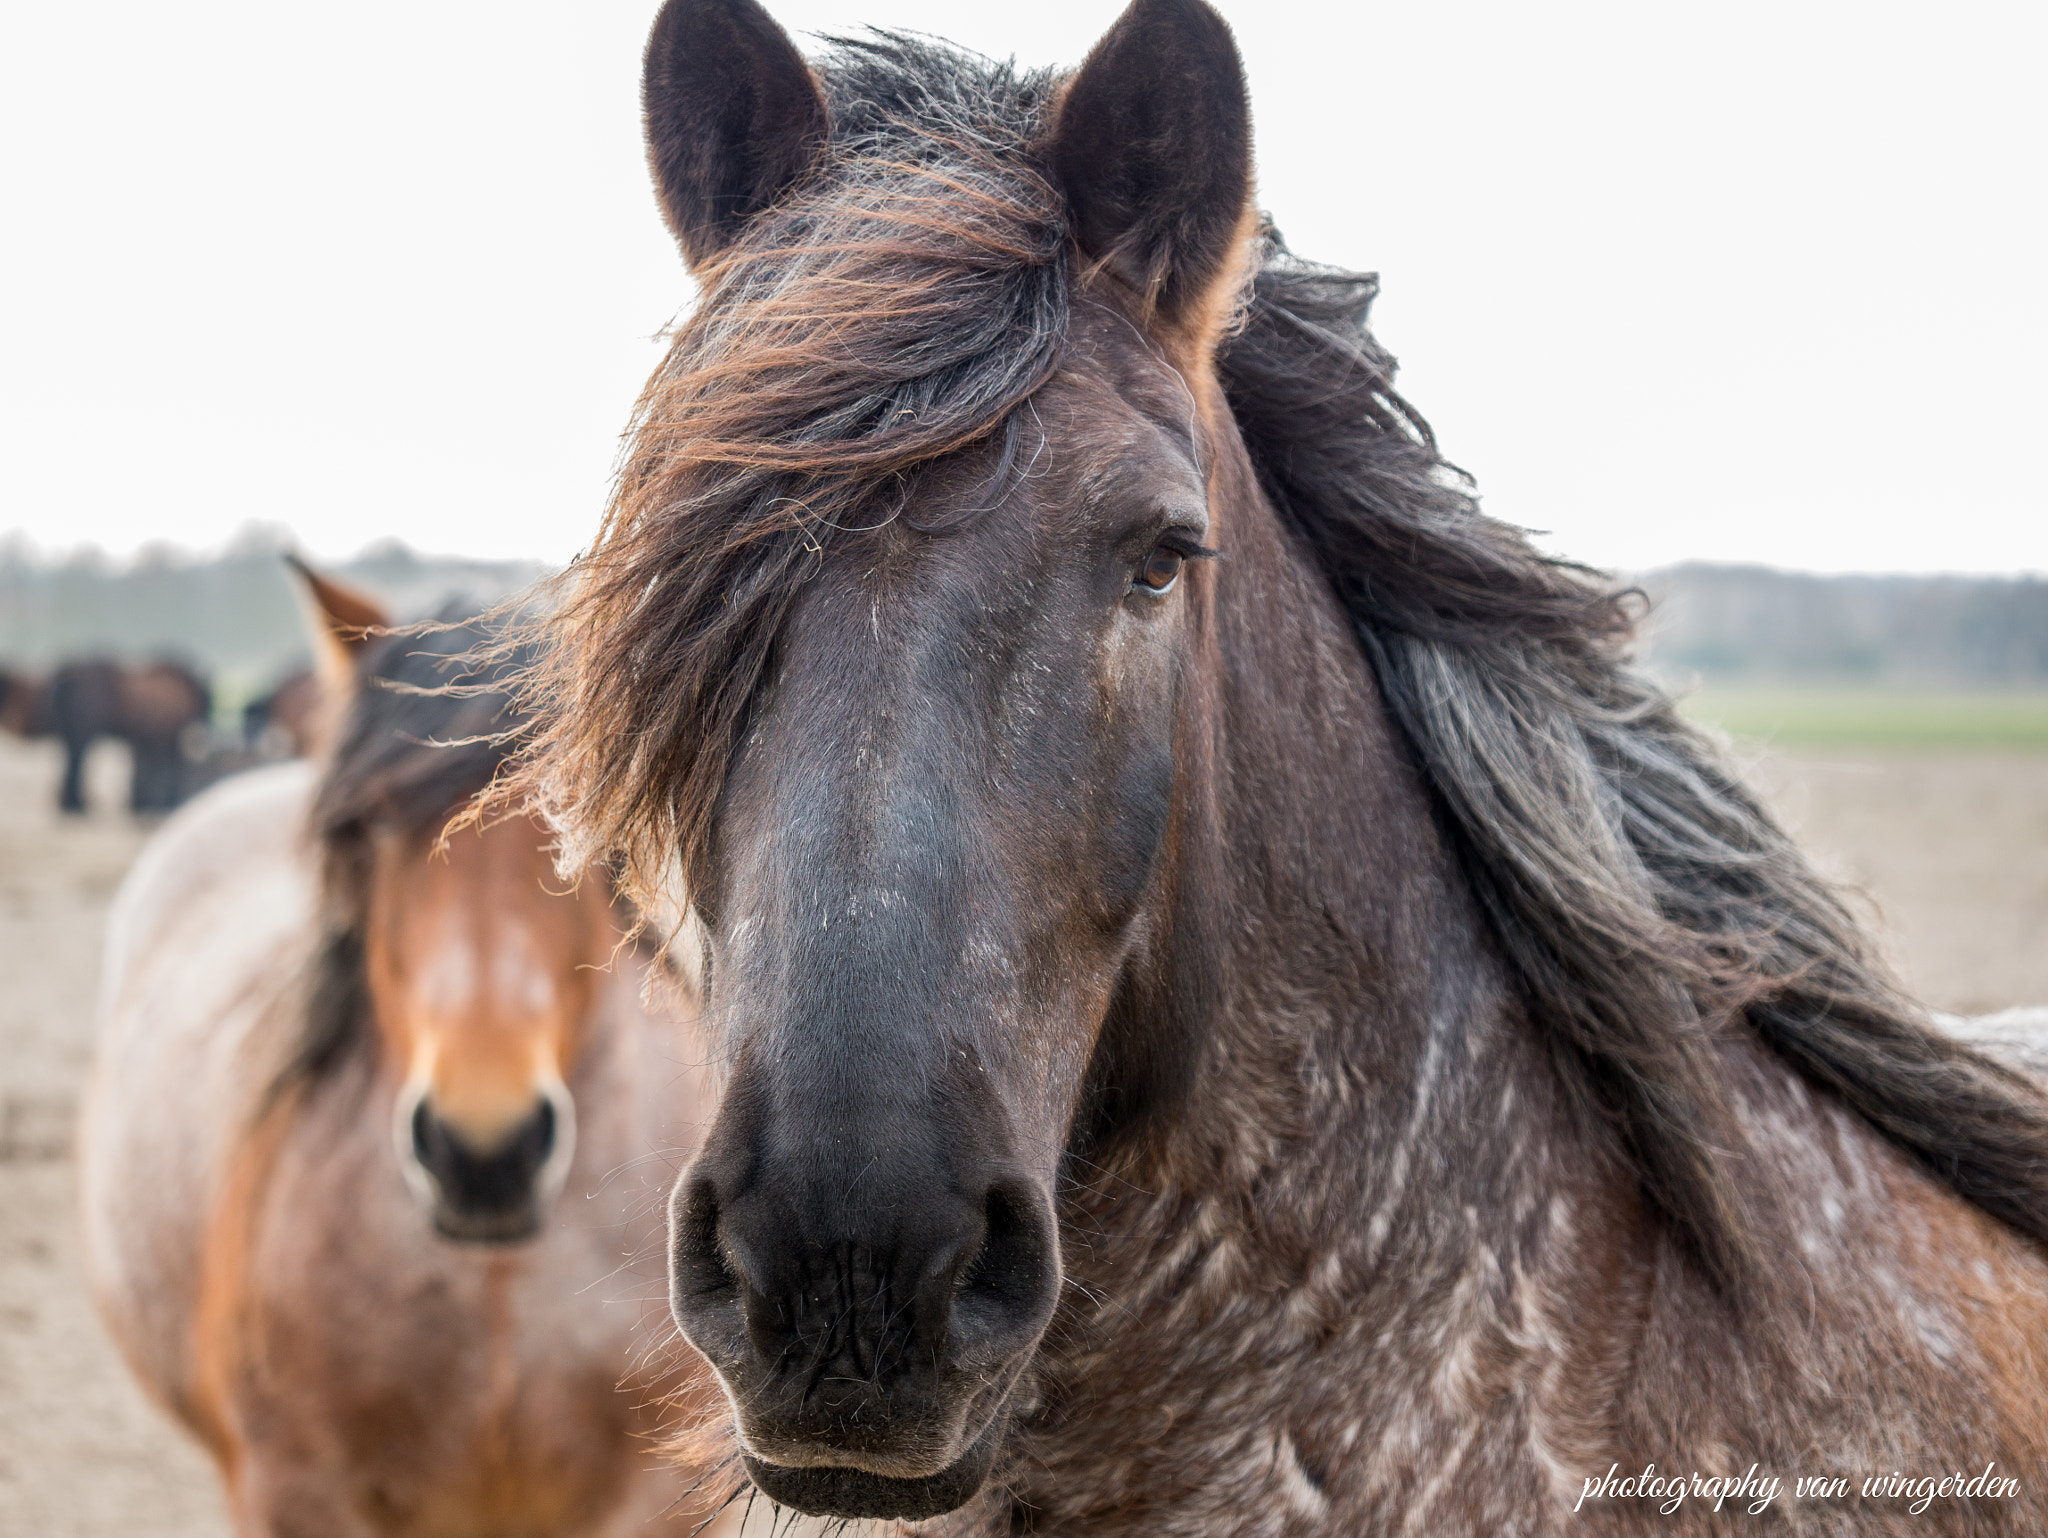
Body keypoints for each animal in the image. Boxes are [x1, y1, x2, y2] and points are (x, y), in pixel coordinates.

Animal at [44, 655, 211, 814]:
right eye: (207, 700)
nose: (203, 738)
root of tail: (64, 684)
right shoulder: (161, 739)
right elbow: (162, 769)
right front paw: (153, 803)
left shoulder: (149, 739)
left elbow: (150, 769)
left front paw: (144, 803)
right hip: (82, 734)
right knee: (77, 761)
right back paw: (77, 805)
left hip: (71, 734)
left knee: (72, 761)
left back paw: (71, 804)